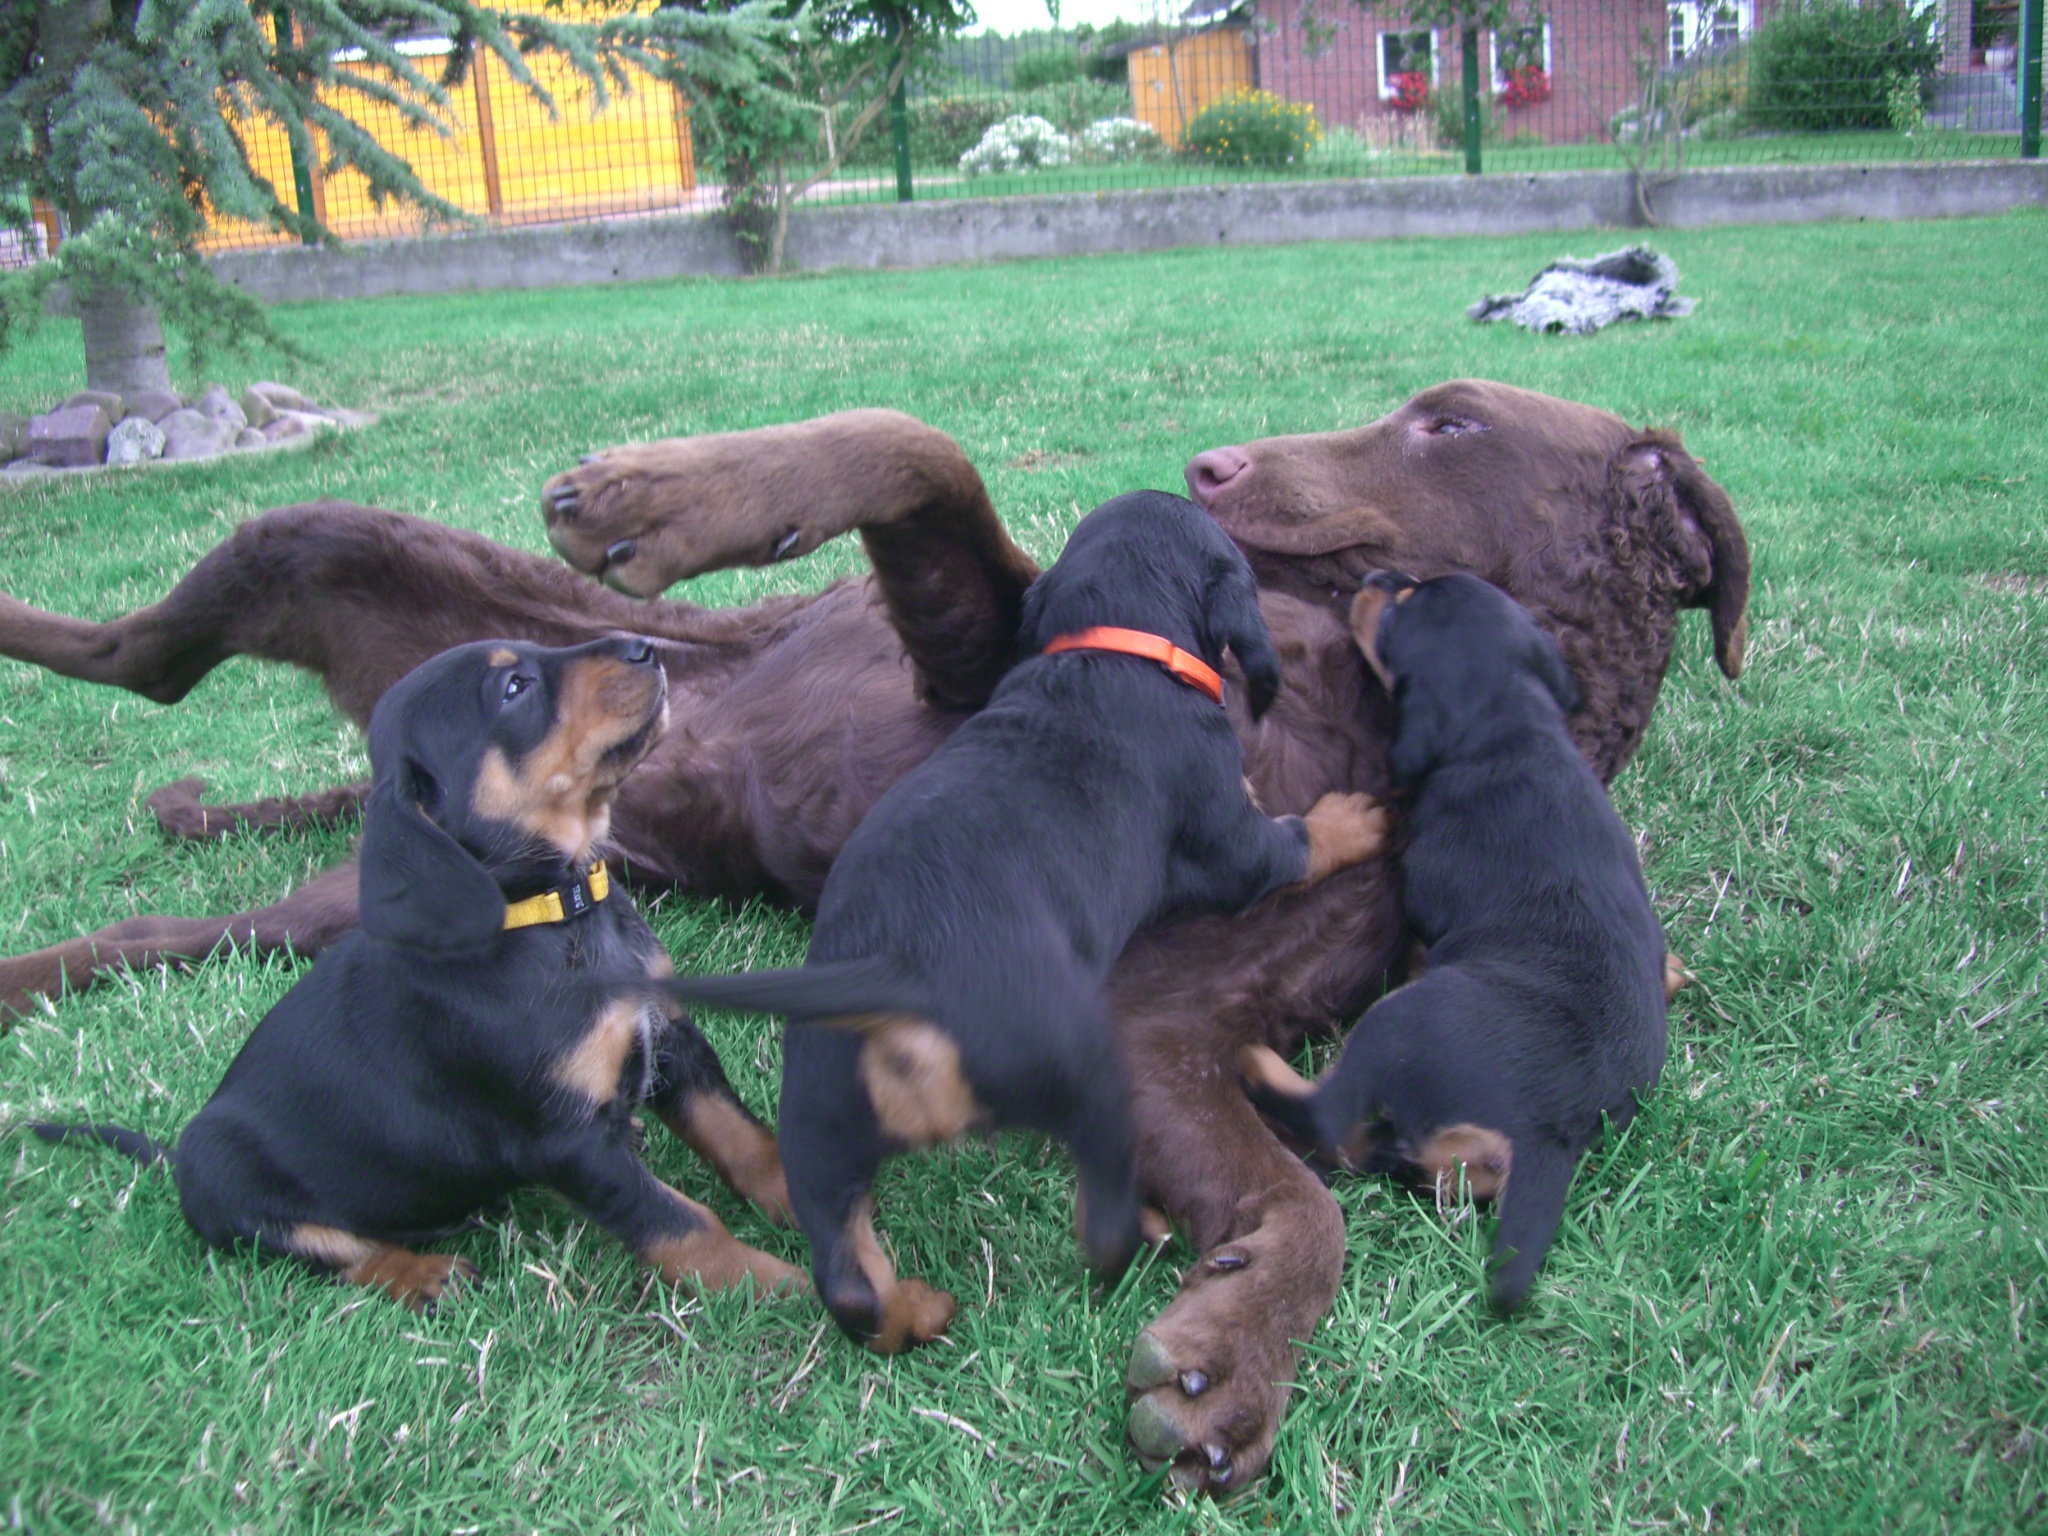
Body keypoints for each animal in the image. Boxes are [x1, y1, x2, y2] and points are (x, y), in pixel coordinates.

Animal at [33, 636, 803, 1313]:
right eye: (513, 687)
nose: (647, 647)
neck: (552, 915)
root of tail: (175, 1159)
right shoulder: (565, 1143)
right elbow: (677, 1222)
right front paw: (774, 1286)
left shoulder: (671, 1038)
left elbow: (743, 1136)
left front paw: (799, 1202)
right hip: (231, 1181)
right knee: (339, 1251)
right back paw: (420, 1274)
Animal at [654, 491, 1389, 1352]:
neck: (1112, 650)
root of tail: (893, 981)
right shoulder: (1231, 835)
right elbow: (1297, 843)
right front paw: (1354, 819)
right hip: (1082, 1056)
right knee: (1101, 1208)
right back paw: (1135, 1231)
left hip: (816, 1117)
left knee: (850, 1284)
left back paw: (920, 1309)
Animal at [1247, 572, 1670, 1312]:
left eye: (1404, 605)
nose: (1375, 579)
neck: (1514, 729)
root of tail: (1553, 1128)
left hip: (1403, 1020)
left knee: (1329, 1111)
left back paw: (1260, 1066)